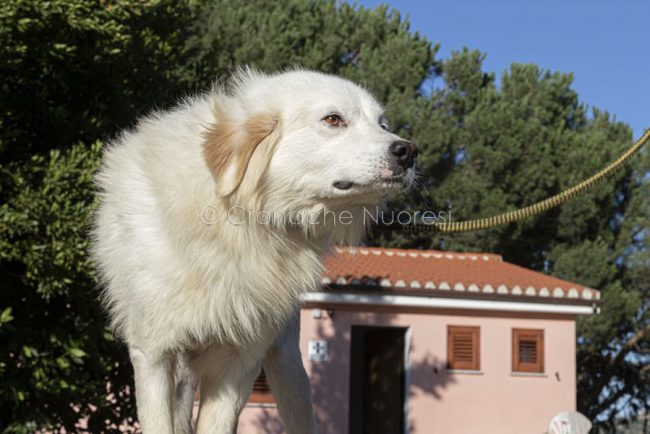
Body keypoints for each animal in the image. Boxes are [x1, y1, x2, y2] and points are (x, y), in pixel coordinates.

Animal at [90, 69, 416, 432]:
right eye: (333, 119)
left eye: (382, 124)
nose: (408, 151)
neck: (242, 226)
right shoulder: (154, 354)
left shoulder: (239, 360)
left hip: (287, 364)